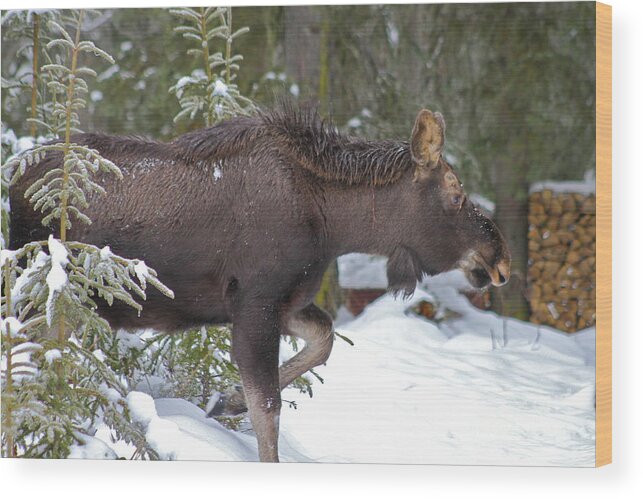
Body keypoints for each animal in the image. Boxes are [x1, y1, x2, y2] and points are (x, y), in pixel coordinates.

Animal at [10, 105, 510, 464]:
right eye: (456, 193)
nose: (500, 260)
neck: (330, 225)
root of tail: (14, 181)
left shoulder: (288, 302)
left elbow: (323, 341)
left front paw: (225, 401)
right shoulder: (255, 303)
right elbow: (268, 409)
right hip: (40, 293)